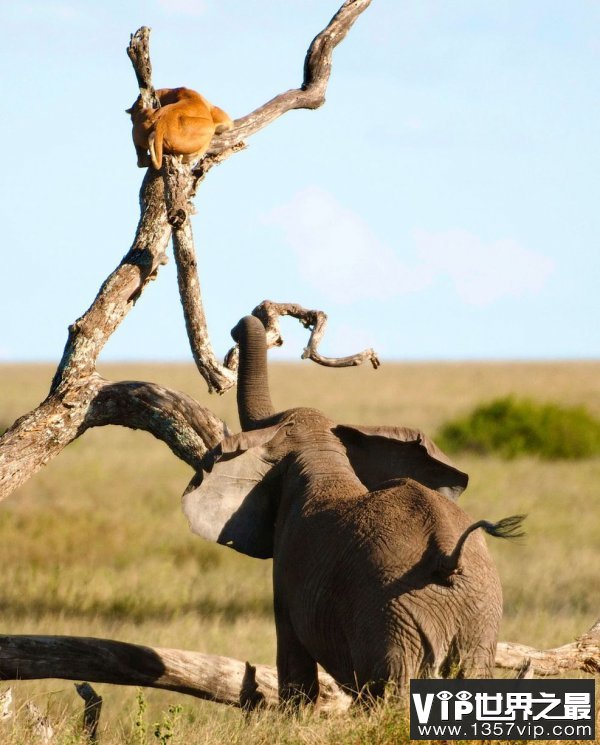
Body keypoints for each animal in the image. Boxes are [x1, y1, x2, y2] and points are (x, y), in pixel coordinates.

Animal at [184, 316, 524, 704]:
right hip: (478, 617)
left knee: (391, 692)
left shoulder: (286, 575)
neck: (323, 457)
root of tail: (446, 558)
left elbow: (294, 661)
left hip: (390, 620)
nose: (240, 327)